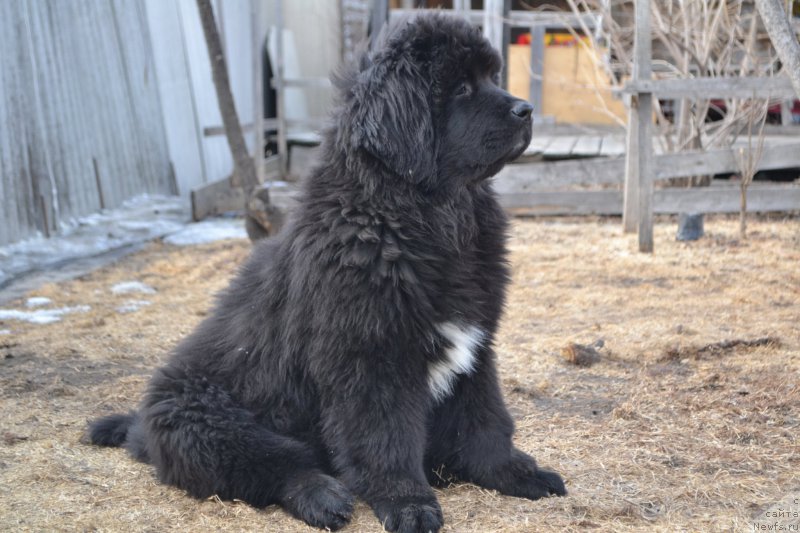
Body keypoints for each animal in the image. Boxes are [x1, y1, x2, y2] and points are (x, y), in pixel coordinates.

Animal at [90, 12, 564, 532]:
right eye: (461, 88)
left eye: (491, 77)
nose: (527, 110)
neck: (411, 216)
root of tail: (144, 427)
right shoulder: (370, 358)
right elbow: (386, 440)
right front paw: (408, 503)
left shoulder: (475, 346)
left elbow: (484, 420)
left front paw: (517, 473)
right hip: (206, 424)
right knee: (276, 464)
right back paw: (323, 496)